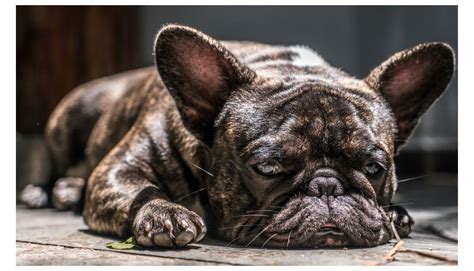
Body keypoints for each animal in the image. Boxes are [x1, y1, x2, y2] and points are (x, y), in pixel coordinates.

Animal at [19, 24, 456, 250]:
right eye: (268, 168)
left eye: (374, 167)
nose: (327, 187)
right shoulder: (117, 170)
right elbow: (138, 189)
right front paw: (164, 213)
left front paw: (395, 214)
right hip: (71, 115)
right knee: (55, 164)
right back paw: (53, 191)